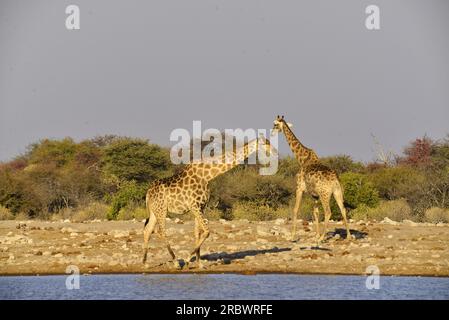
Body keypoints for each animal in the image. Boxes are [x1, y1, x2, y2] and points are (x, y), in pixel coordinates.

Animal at [142, 135, 272, 268]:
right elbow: (207, 231)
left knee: (148, 230)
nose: (273, 152)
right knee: (160, 231)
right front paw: (188, 260)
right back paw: (176, 262)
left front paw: (199, 264)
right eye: (266, 143)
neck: (207, 176)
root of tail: (148, 193)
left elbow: (198, 233)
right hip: (162, 209)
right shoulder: (194, 206)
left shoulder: (201, 207)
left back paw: (145, 263)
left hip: (154, 210)